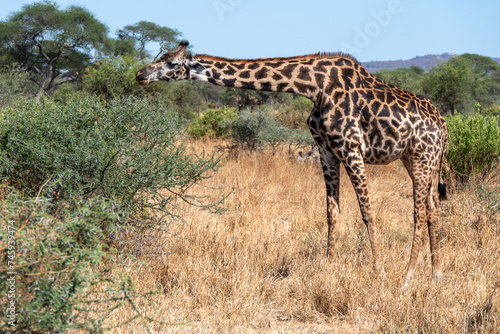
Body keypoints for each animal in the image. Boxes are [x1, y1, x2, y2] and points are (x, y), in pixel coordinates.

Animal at [137, 40, 450, 284]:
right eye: (158, 57)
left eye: (171, 62)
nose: (140, 74)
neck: (314, 87)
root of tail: (444, 126)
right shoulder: (326, 150)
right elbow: (331, 212)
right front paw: (328, 268)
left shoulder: (351, 148)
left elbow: (367, 212)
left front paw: (379, 272)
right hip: (419, 161)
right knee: (433, 209)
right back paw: (435, 274)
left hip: (422, 157)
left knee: (419, 213)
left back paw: (407, 278)